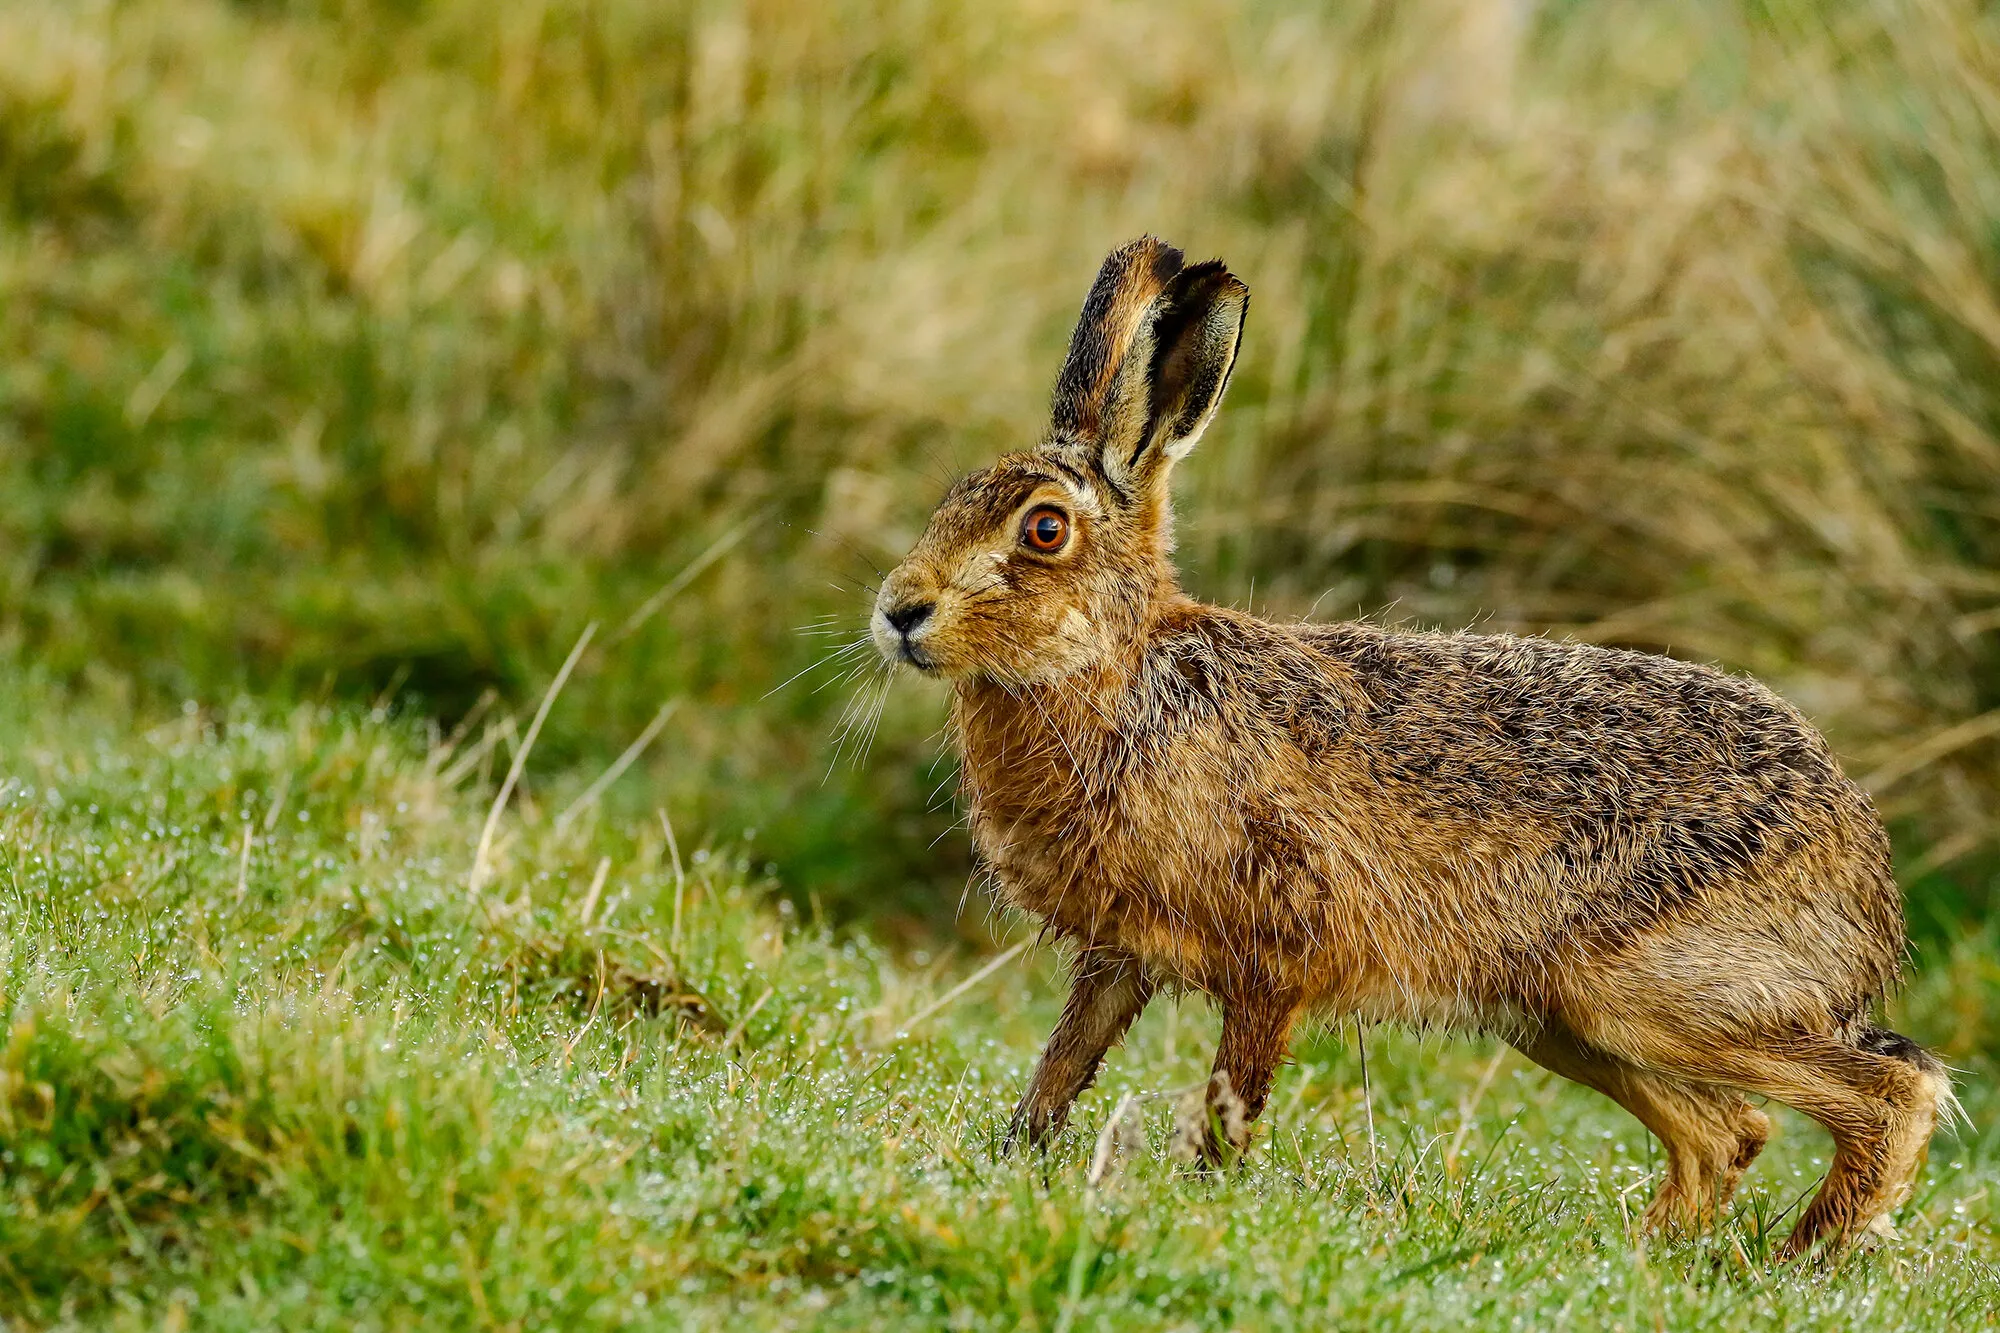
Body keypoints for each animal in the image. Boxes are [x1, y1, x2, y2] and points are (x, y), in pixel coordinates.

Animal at [869, 236, 1956, 1259]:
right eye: (951, 500)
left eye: (1044, 530)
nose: (898, 612)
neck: (1120, 672)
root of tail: (1864, 887)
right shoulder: (1117, 955)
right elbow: (1060, 1066)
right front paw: (1013, 1159)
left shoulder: (1275, 952)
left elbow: (1229, 1102)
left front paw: (1202, 1203)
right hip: (1562, 1018)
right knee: (1725, 1133)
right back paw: (1643, 1260)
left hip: (1649, 995)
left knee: (1888, 1094)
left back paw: (1794, 1263)